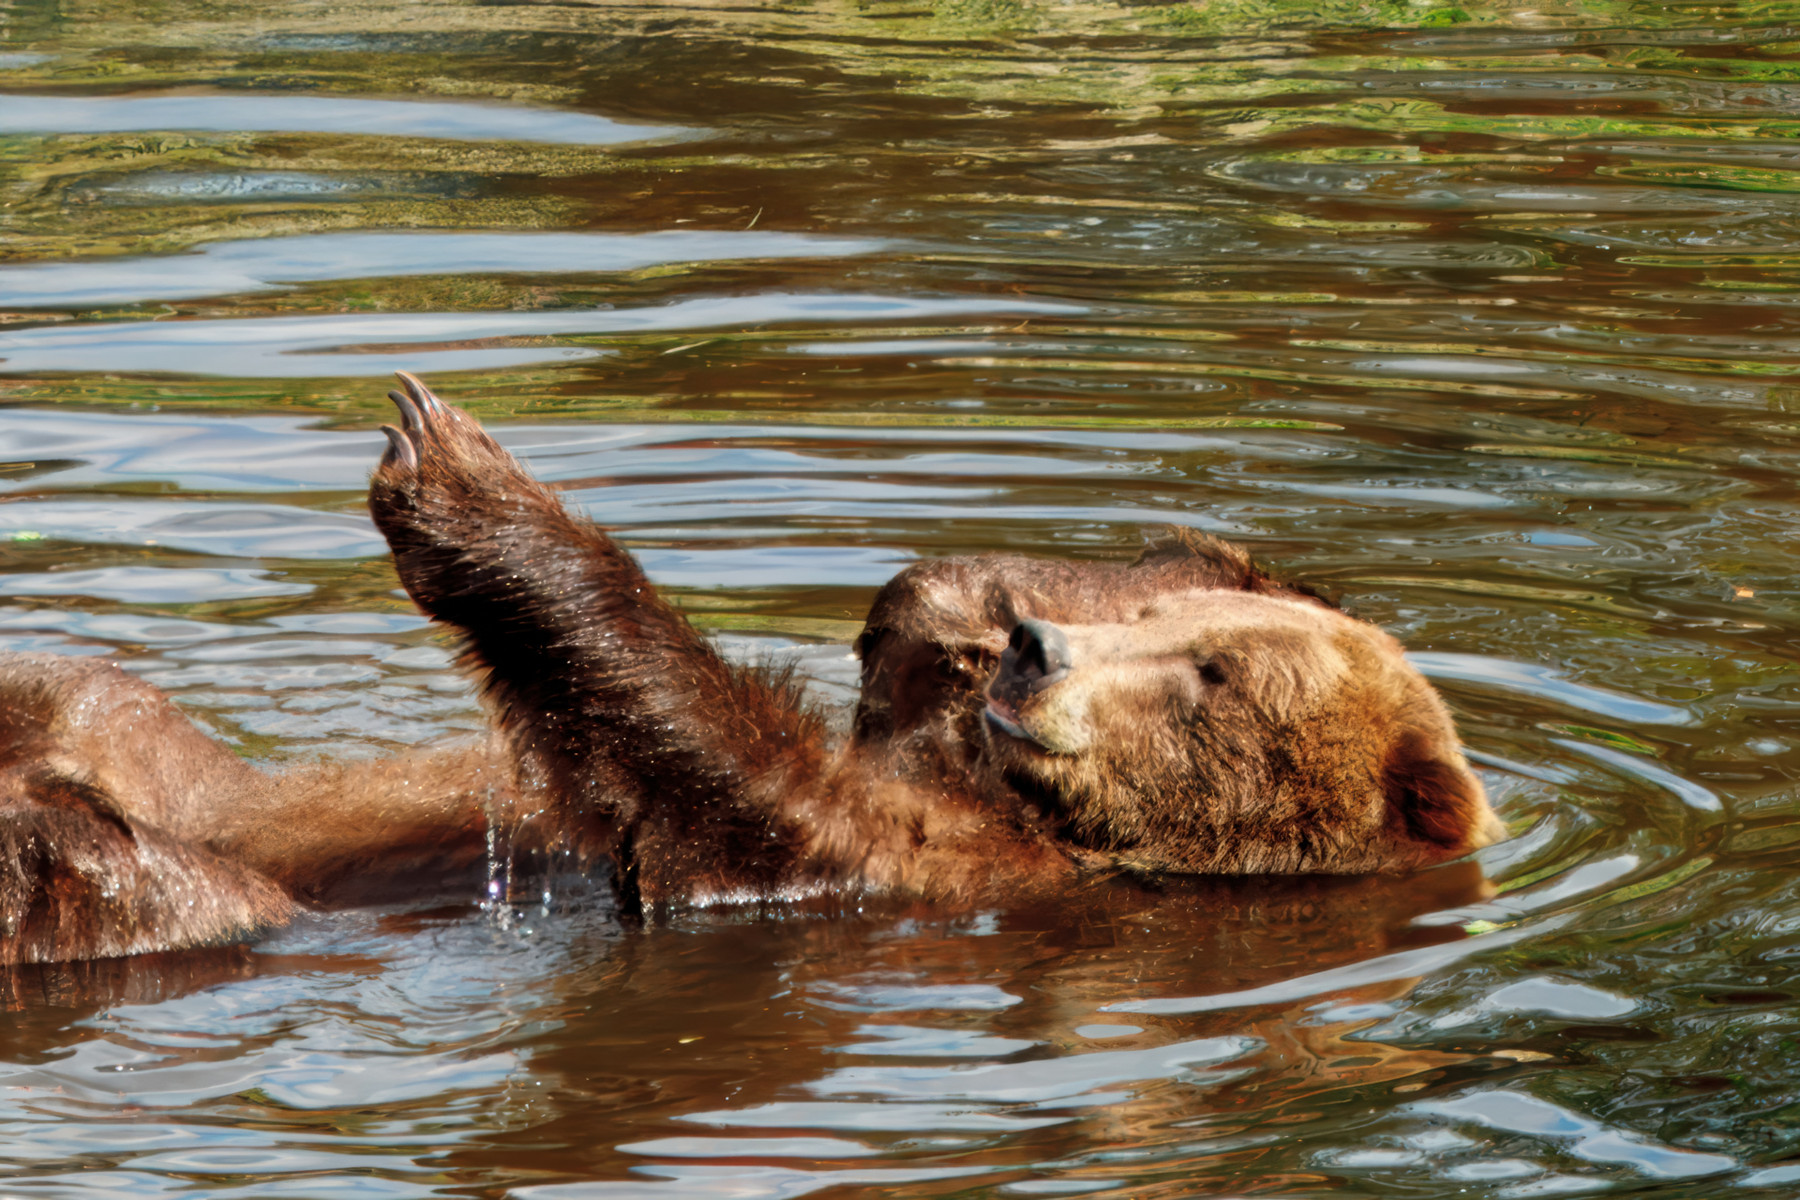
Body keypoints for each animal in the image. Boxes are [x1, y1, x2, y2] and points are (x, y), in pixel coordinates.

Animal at [0, 372, 1506, 964]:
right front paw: (943, 604)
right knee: (86, 695)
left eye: (1212, 677)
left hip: (186, 894)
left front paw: (462, 477)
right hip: (156, 743)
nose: (1029, 649)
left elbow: (723, 793)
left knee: (114, 869)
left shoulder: (942, 872)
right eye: (1169, 629)